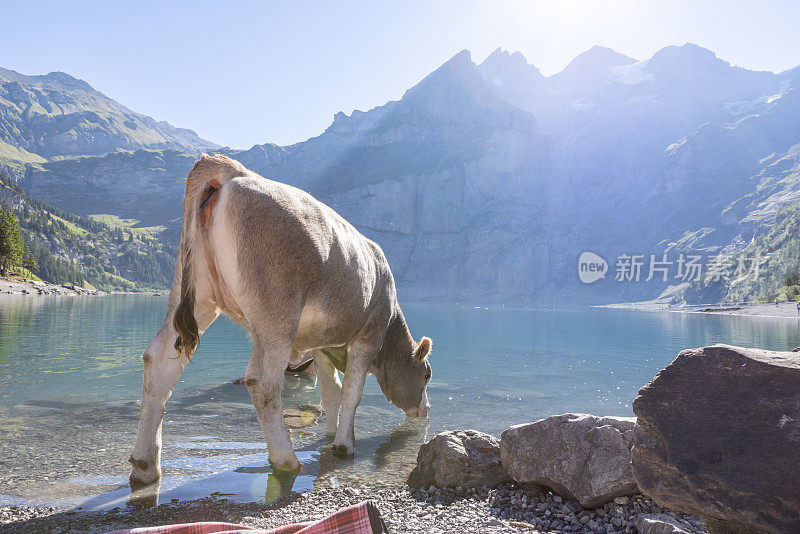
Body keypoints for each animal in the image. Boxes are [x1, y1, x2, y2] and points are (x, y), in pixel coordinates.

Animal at [129, 156, 434, 490]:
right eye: (427, 374)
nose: (426, 409)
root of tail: (234, 171)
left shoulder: (322, 344)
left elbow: (332, 393)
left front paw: (329, 436)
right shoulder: (369, 334)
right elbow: (352, 393)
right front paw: (344, 445)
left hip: (196, 294)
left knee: (160, 362)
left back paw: (145, 466)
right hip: (276, 309)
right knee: (263, 381)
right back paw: (286, 460)